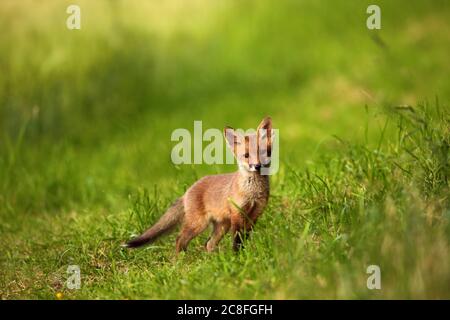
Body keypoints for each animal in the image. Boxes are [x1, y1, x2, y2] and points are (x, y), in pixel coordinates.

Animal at [125, 116, 276, 254]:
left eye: (263, 152)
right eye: (246, 155)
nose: (257, 166)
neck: (252, 192)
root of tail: (188, 191)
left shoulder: (255, 214)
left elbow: (244, 238)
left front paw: (242, 255)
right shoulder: (237, 214)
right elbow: (237, 240)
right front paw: (237, 256)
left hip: (221, 226)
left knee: (208, 244)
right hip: (198, 224)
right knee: (180, 240)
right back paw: (180, 261)